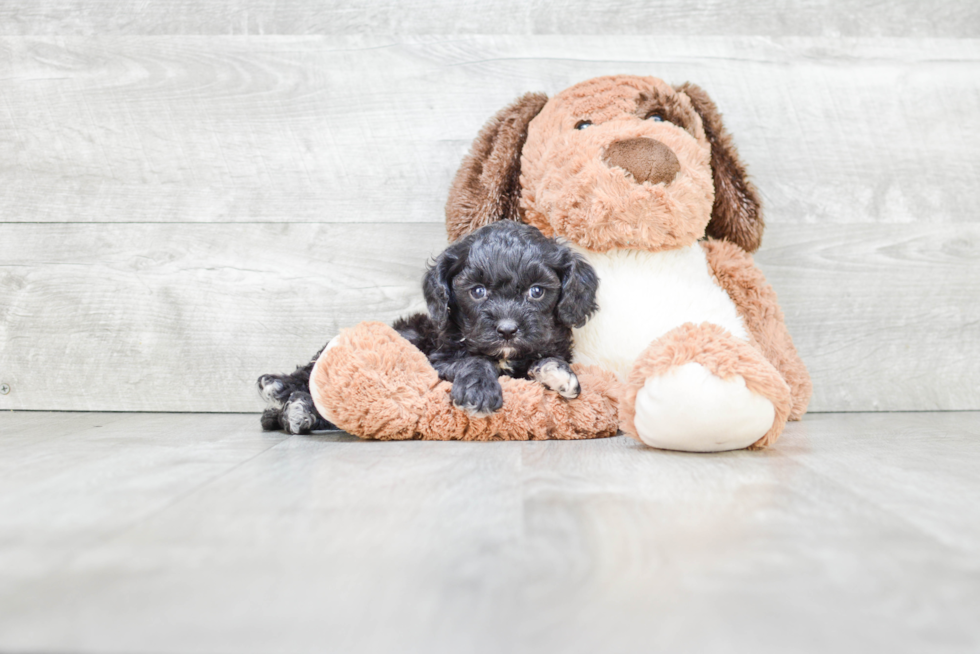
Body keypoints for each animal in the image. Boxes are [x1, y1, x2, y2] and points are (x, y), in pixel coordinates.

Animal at [255, 223, 596, 434]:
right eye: (477, 291)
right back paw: (278, 388)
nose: (507, 329)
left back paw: (298, 411)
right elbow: (475, 359)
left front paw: (558, 373)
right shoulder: (438, 360)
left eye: (536, 292)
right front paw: (478, 389)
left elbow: (545, 358)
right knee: (310, 372)